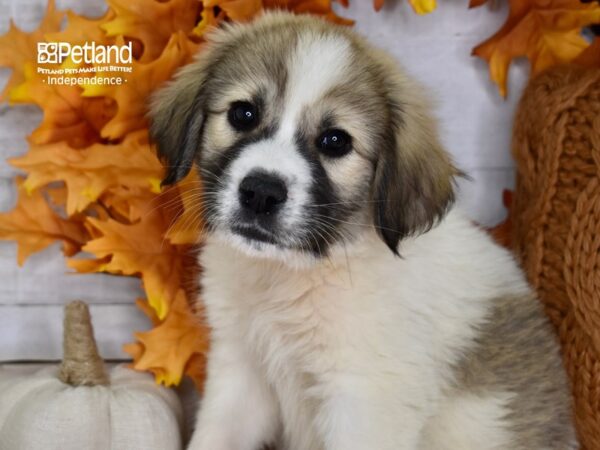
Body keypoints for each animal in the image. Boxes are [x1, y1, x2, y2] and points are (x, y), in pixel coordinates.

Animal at [149, 11, 576, 450]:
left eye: (335, 141)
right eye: (243, 114)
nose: (261, 193)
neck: (295, 275)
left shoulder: (363, 404)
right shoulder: (240, 372)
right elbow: (212, 436)